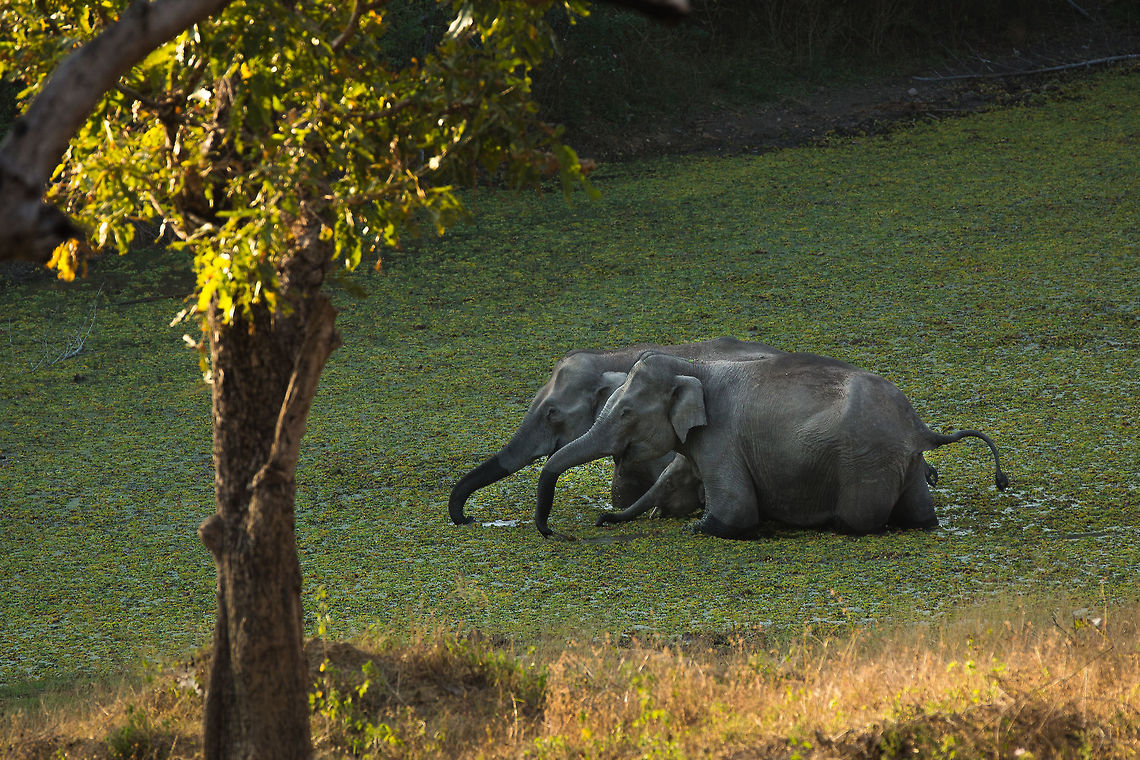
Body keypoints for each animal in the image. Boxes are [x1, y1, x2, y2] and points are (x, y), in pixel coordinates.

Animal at [536, 351, 1009, 539]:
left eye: (626, 412)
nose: (558, 532)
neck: (697, 367)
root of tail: (918, 426)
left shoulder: (721, 440)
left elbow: (736, 513)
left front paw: (696, 528)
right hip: (905, 465)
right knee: (920, 517)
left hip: (865, 463)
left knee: (856, 522)